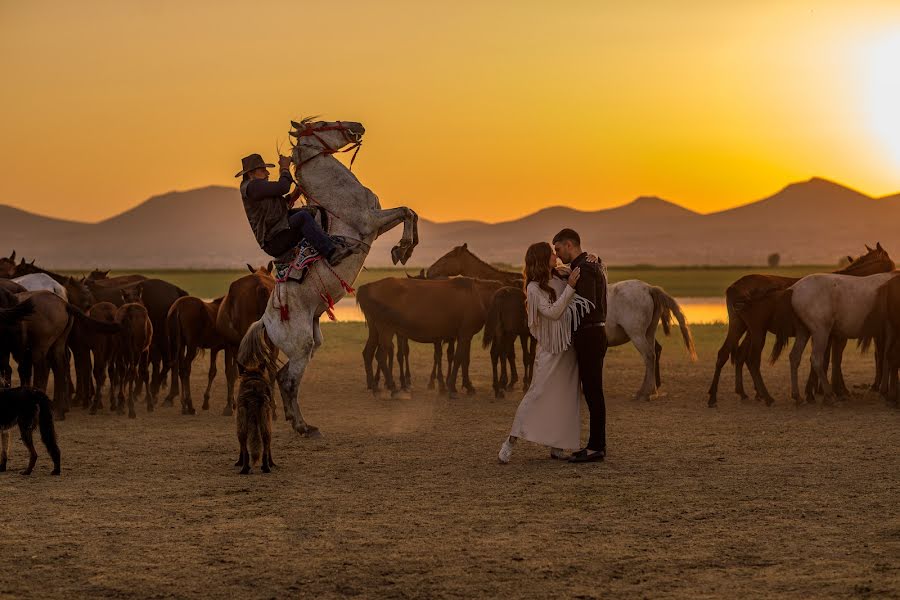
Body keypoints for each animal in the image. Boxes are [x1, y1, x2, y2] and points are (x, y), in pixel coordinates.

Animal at [216, 264, 276, 414]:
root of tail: (261, 286)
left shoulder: (230, 344)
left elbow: (231, 372)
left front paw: (229, 406)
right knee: (272, 370)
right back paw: (272, 407)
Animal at [239, 118, 422, 436]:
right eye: (323, 124)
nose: (357, 125)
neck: (338, 196)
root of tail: (265, 320)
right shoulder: (370, 222)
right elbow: (406, 211)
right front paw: (403, 248)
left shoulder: (377, 226)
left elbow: (409, 212)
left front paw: (404, 248)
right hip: (302, 345)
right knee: (289, 381)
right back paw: (303, 426)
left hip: (311, 343)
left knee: (283, 377)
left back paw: (297, 421)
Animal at [768, 270, 900, 404]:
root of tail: (794, 289)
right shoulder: (891, 331)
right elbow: (888, 358)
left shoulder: (887, 332)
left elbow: (886, 358)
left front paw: (885, 391)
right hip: (820, 332)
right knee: (816, 359)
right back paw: (829, 395)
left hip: (803, 332)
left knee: (794, 357)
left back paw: (797, 396)